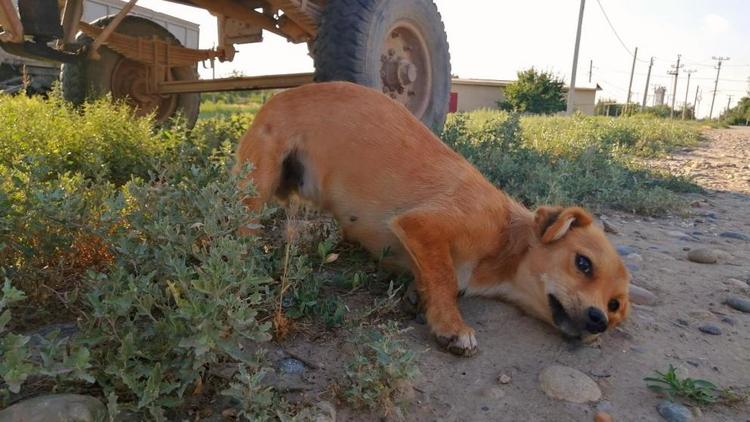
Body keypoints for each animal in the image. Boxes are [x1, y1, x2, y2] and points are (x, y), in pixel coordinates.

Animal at [234, 81, 628, 356]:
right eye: (583, 263)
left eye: (615, 306)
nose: (599, 322)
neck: (506, 240)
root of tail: (277, 96)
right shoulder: (423, 225)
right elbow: (446, 278)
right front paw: (451, 324)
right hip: (256, 184)